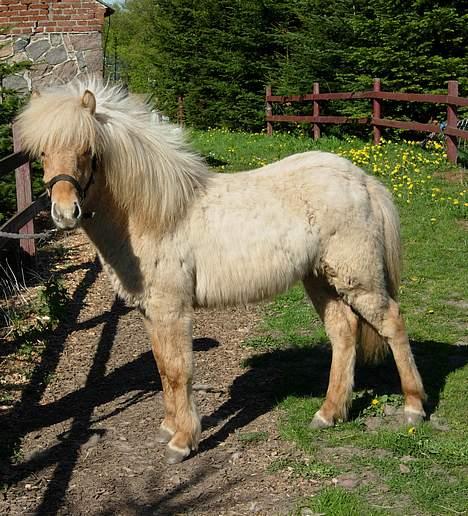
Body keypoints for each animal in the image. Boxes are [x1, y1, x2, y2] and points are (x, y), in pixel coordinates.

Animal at [17, 79, 428, 464]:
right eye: (42, 154)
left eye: (88, 151)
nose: (64, 213)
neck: (155, 215)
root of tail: (363, 181)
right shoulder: (151, 312)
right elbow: (162, 368)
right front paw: (169, 426)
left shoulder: (173, 310)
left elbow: (180, 370)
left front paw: (183, 442)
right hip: (320, 279)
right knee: (343, 334)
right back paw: (328, 413)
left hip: (359, 279)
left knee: (393, 324)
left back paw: (413, 407)